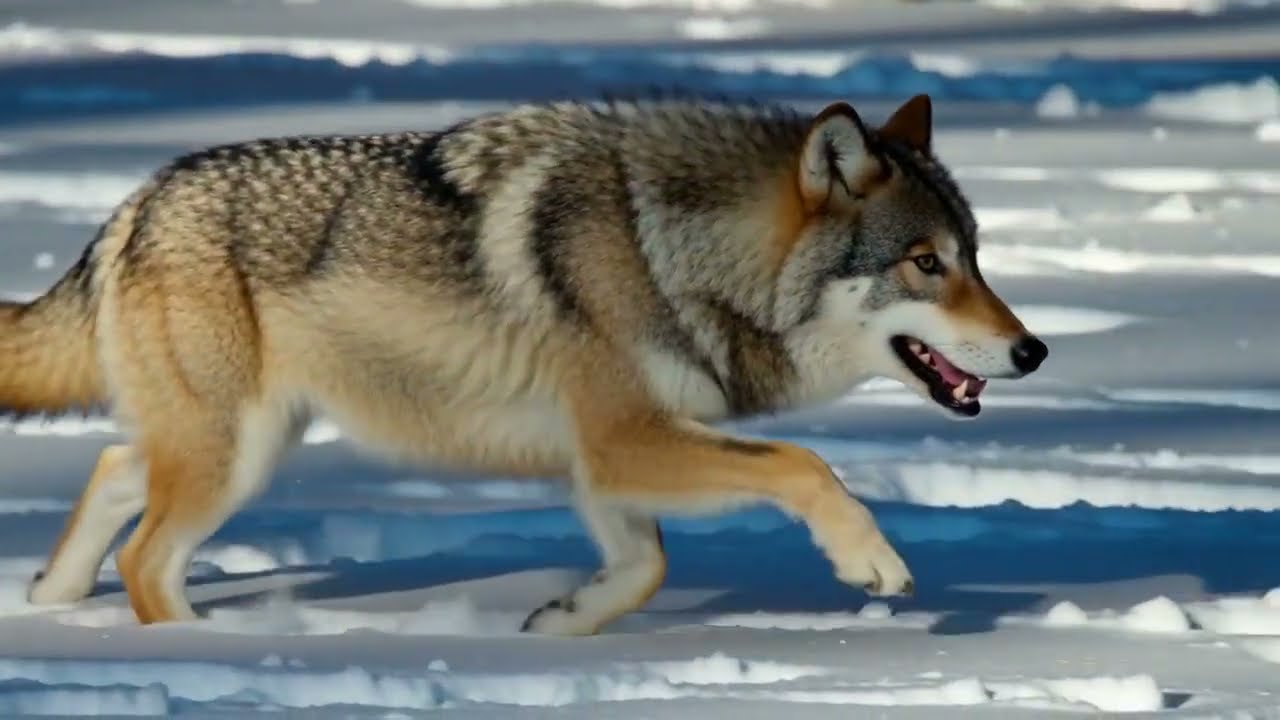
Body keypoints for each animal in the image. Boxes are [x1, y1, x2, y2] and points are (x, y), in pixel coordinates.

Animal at [2, 93, 1046, 635]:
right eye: (926, 264)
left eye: (976, 255)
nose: (1032, 351)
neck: (670, 251)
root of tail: (137, 200)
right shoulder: (625, 439)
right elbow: (808, 466)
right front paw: (872, 562)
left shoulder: (603, 460)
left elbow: (645, 568)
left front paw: (557, 633)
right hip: (234, 457)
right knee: (146, 559)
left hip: (241, 445)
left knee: (113, 469)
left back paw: (52, 602)